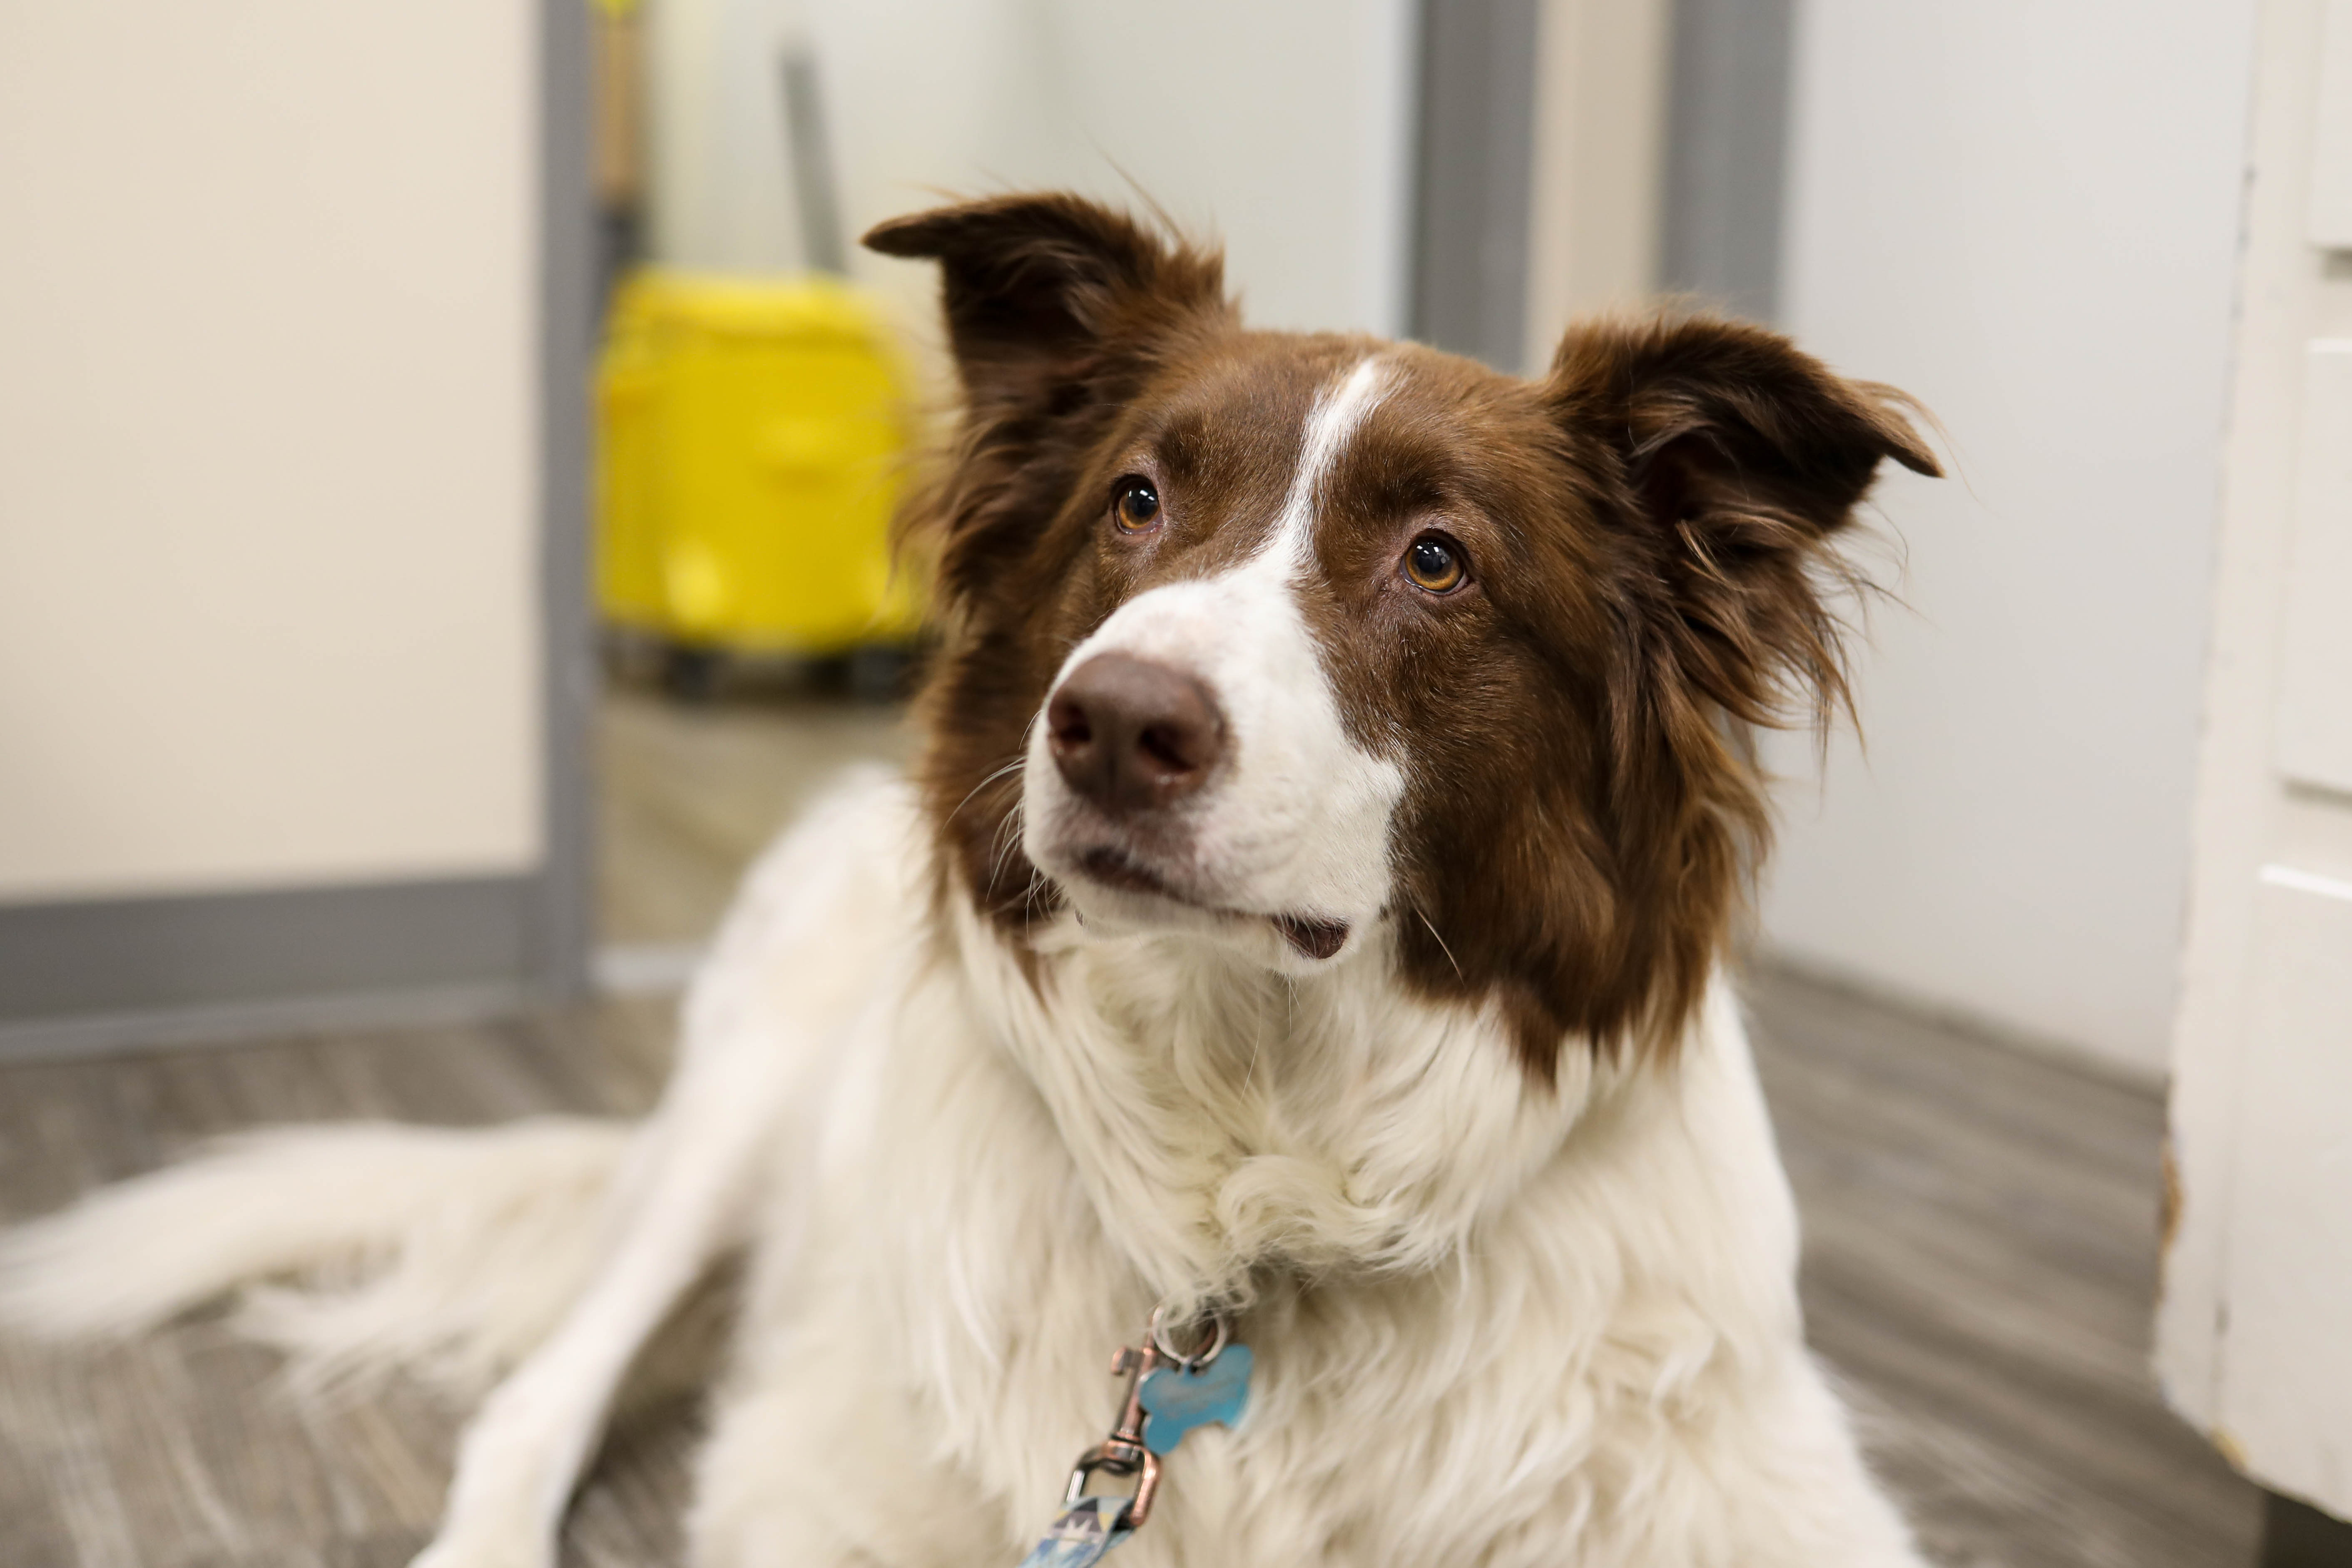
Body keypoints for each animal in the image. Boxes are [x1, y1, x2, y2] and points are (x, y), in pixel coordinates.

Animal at [0, 199, 1947, 1568]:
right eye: (1136, 499)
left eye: (1438, 560)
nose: (1108, 723)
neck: (1255, 1200)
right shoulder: (828, 1484)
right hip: (739, 1111)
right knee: (539, 1399)